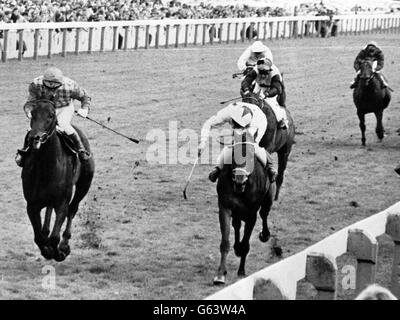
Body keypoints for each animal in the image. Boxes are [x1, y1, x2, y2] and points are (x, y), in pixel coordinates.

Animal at [21, 100, 94, 262]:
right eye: (32, 114)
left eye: (50, 115)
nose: (34, 138)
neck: (45, 168)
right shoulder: (31, 205)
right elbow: (38, 238)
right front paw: (46, 249)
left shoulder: (62, 203)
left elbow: (55, 236)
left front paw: (60, 252)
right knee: (49, 209)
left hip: (84, 185)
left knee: (73, 209)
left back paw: (65, 244)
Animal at [214, 126, 276, 284]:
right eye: (233, 155)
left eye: (250, 156)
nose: (239, 181)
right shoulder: (225, 207)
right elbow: (225, 242)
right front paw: (220, 274)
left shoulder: (251, 214)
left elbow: (246, 244)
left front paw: (241, 271)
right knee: (236, 225)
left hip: (268, 199)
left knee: (264, 214)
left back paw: (265, 235)